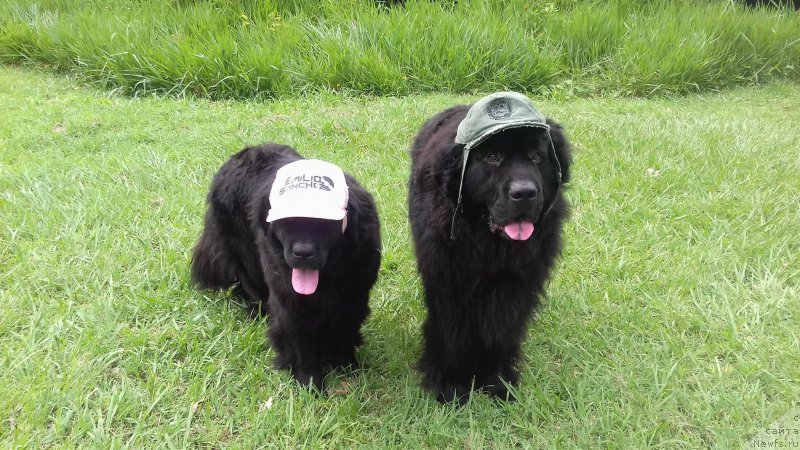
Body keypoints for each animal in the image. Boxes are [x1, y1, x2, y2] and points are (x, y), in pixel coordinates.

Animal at [192, 144, 382, 390]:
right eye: (287, 223)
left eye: (323, 224)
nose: (302, 252)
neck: (328, 277)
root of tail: (242, 154)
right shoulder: (290, 301)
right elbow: (301, 342)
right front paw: (309, 383)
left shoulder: (353, 295)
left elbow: (343, 329)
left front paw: (346, 366)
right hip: (246, 255)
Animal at [410, 93, 572, 402]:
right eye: (492, 157)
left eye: (537, 157)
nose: (525, 193)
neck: (488, 247)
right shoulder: (448, 281)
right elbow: (452, 332)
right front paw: (451, 386)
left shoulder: (519, 285)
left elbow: (502, 329)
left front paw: (496, 382)